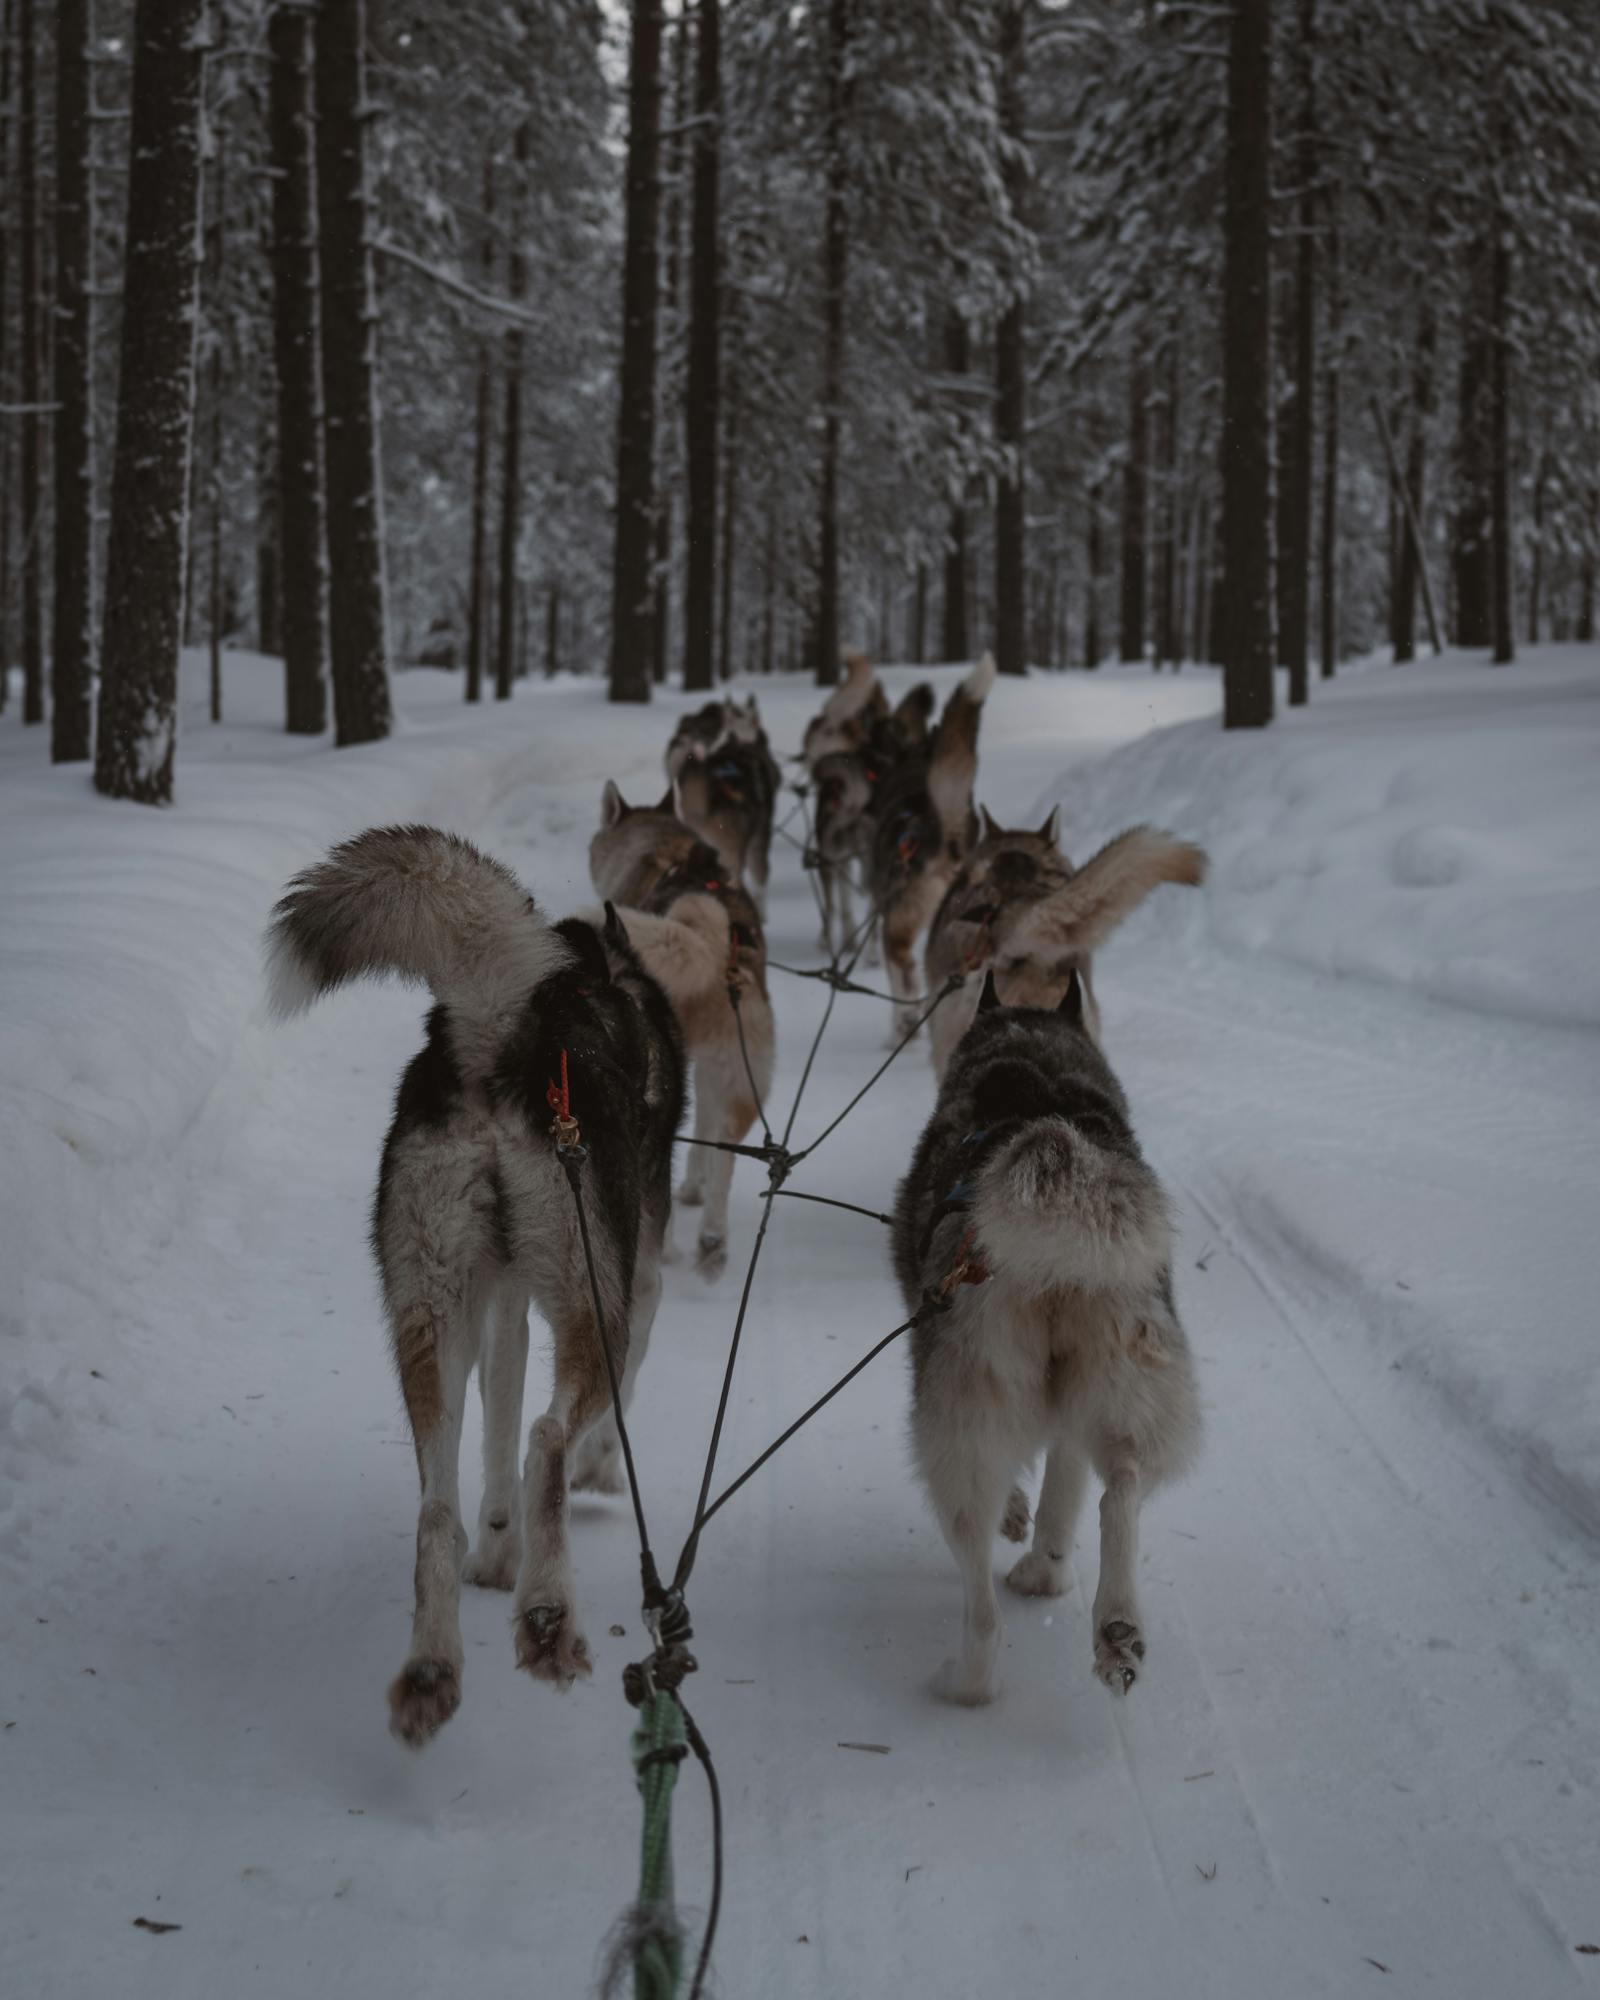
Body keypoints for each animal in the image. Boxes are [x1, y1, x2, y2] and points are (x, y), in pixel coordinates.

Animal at [260, 820, 680, 1744]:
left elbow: (493, 1442)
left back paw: (433, 1667)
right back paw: (548, 1617)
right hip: (592, 1308)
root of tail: (501, 1031)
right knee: (547, 1441)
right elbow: (586, 1423)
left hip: (429, 1316)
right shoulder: (634, 1291)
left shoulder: (503, 1311)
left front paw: (495, 1553)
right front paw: (590, 1483)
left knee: (436, 1508)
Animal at [596, 784, 780, 1280]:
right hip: (742, 1080)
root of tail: (714, 947)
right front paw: (695, 1186)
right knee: (725, 1154)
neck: (667, 849)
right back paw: (712, 1239)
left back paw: (670, 1247)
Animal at [892, 968, 1192, 1704]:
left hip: (958, 1436)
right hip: (1125, 1382)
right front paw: (1050, 1566)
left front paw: (1020, 1527)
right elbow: (1065, 1492)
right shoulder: (1070, 1422)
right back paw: (1110, 1624)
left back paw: (963, 1682)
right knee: (1121, 1490)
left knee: (981, 1610)